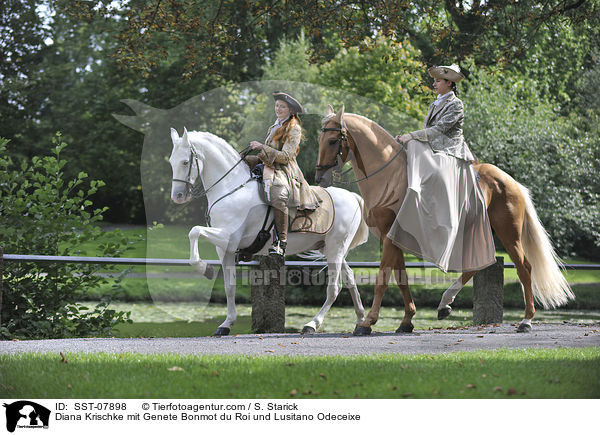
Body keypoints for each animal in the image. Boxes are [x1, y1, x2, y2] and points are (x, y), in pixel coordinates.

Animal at [166, 127, 368, 336]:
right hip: (330, 249)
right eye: (172, 161)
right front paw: (226, 324)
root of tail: (352, 196)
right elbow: (229, 287)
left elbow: (194, 231)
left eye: (185, 162)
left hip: (336, 249)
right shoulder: (225, 249)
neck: (231, 188)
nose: (178, 196)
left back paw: (312, 324)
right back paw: (361, 321)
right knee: (350, 279)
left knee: (334, 287)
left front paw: (204, 268)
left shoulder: (227, 236)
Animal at [316, 106, 576, 338]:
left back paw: (526, 321)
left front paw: (367, 323)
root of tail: (510, 181)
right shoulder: (392, 237)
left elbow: (382, 279)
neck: (389, 178)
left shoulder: (390, 236)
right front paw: (407, 320)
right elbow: (401, 278)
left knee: (524, 268)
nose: (319, 175)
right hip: (477, 231)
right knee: (478, 265)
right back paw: (444, 304)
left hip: (508, 233)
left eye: (332, 141)